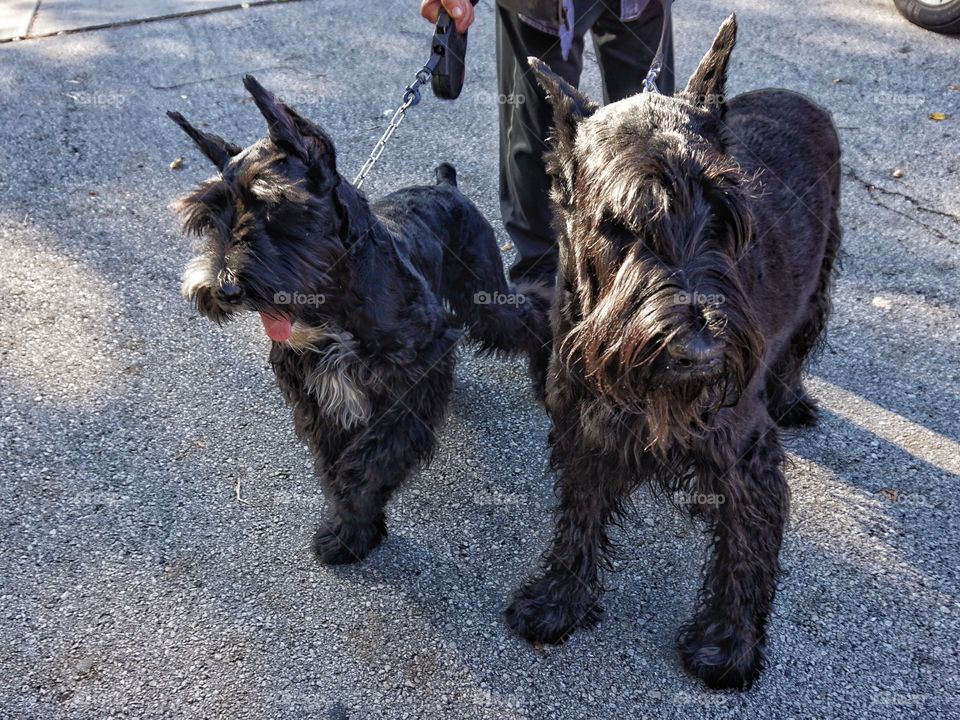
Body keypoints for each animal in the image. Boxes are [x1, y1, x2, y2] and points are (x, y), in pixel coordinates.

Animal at [169, 76, 552, 564]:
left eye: (272, 206)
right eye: (209, 216)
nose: (223, 288)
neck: (335, 295)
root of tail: (445, 186)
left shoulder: (412, 371)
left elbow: (372, 457)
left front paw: (352, 521)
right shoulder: (316, 390)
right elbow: (336, 460)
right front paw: (352, 530)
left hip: (486, 297)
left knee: (536, 310)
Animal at [502, 15, 840, 692]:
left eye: (725, 212)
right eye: (619, 226)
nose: (700, 352)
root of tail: (800, 97)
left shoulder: (745, 454)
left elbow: (745, 549)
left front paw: (729, 644)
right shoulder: (585, 430)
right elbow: (578, 516)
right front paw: (559, 599)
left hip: (818, 284)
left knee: (797, 348)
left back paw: (791, 398)